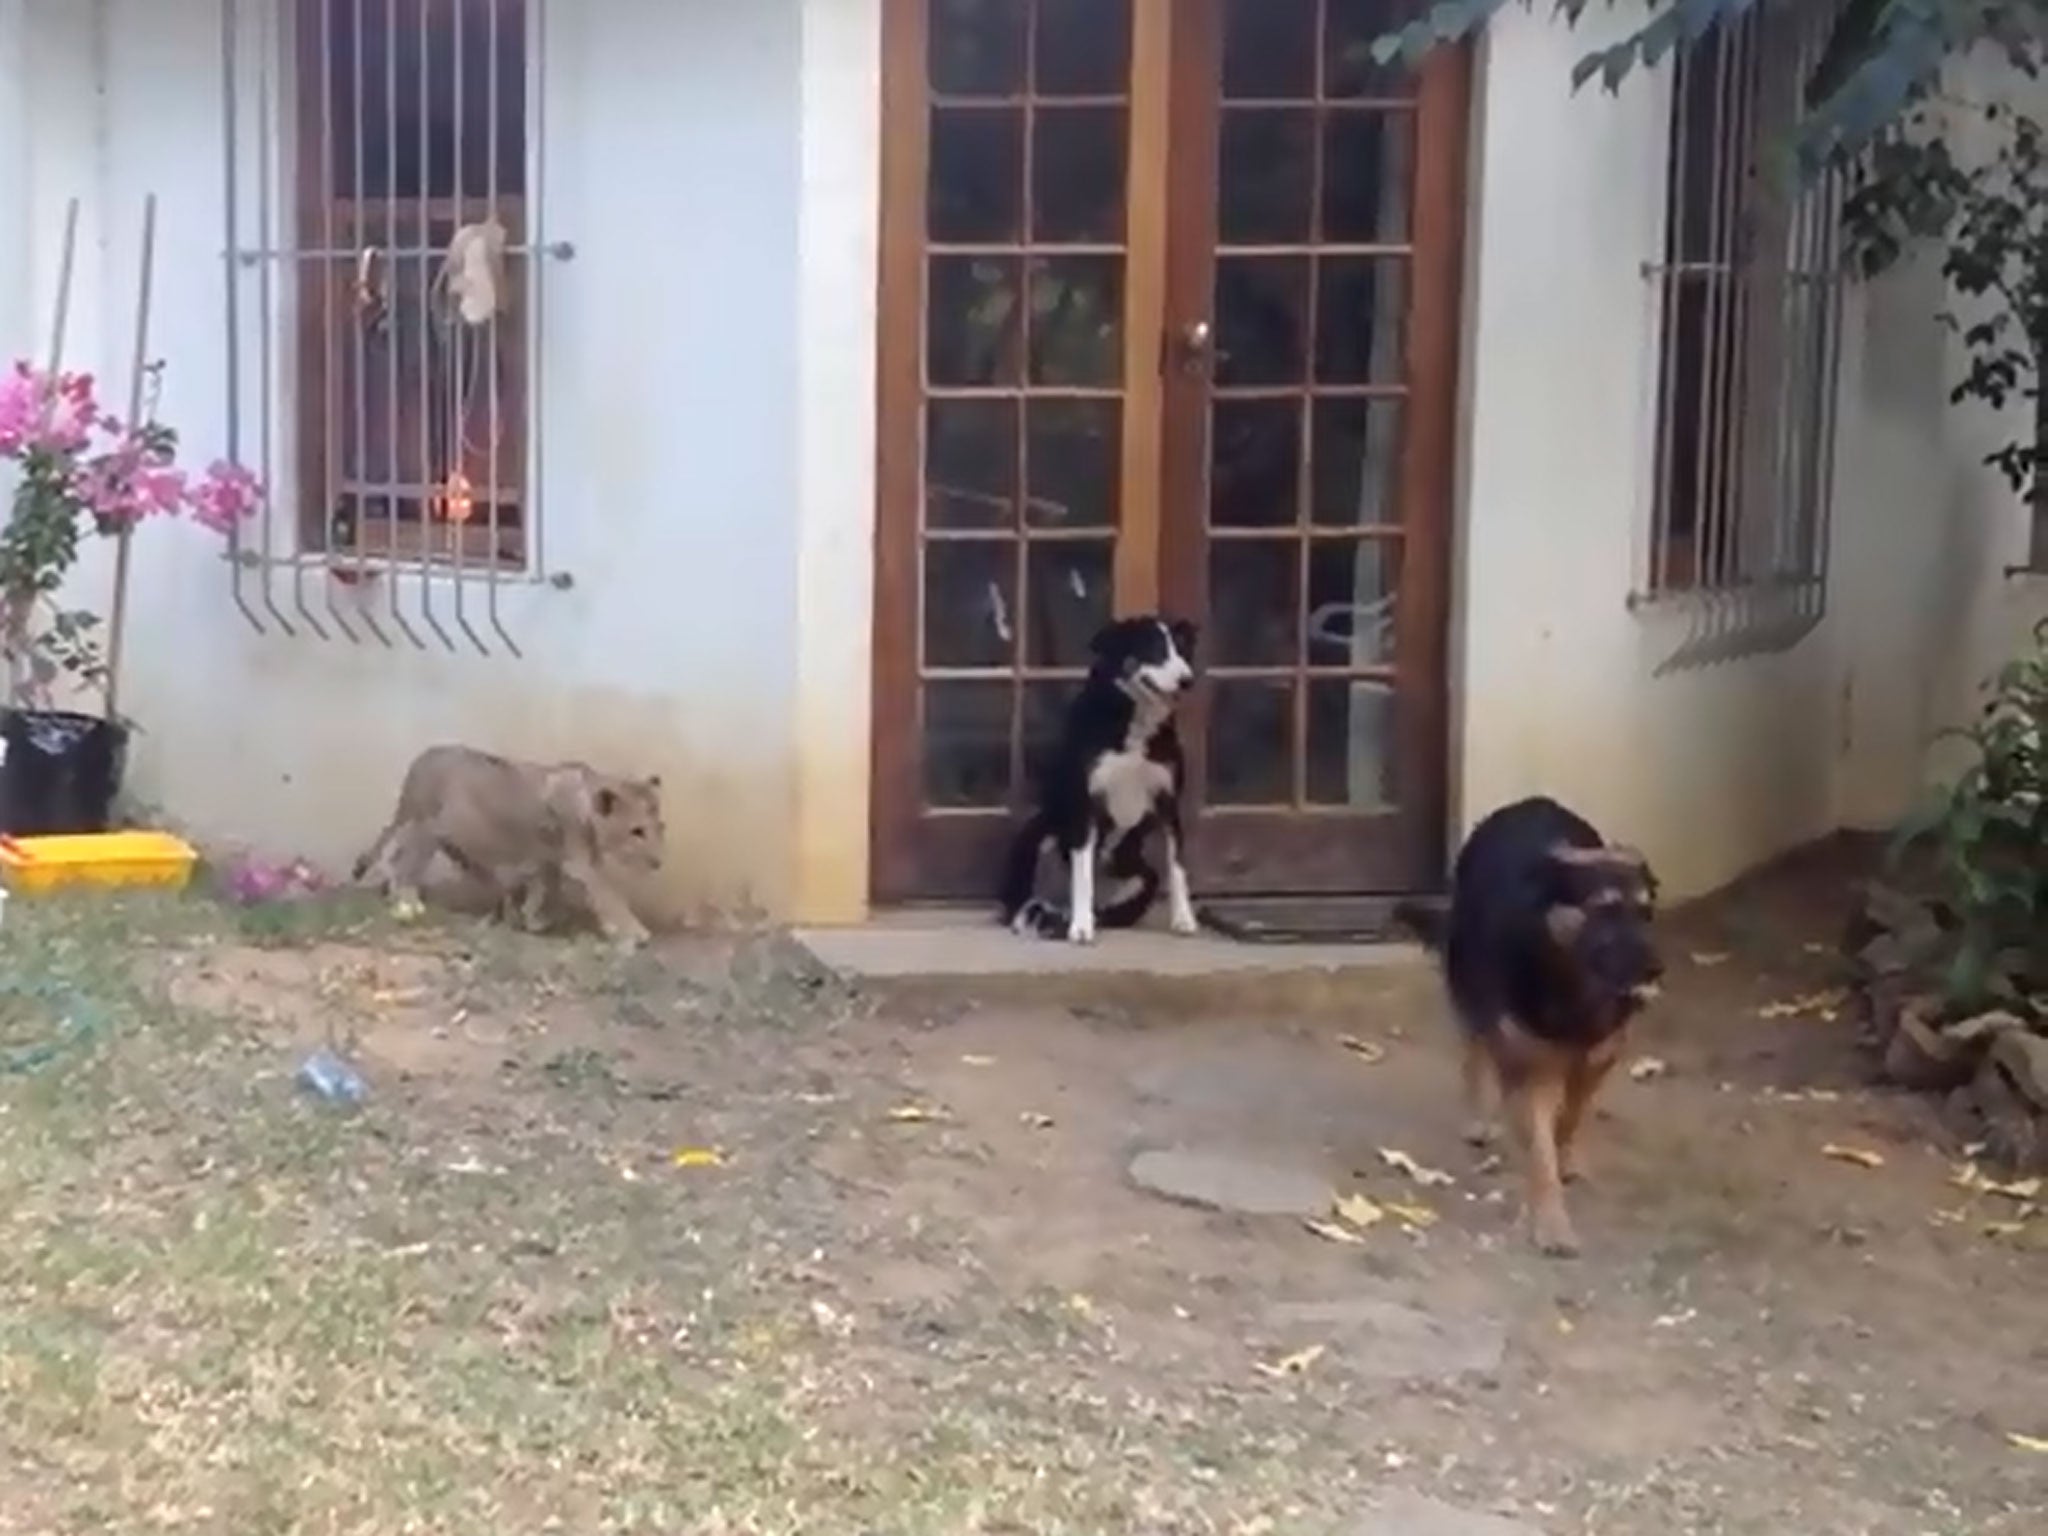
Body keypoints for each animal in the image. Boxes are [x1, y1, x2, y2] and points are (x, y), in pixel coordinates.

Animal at [1392, 798, 1662, 1253]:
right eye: (1604, 909)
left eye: (1645, 913)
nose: (1655, 969)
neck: (1569, 985)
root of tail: (1530, 803)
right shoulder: (1530, 1066)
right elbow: (1540, 1151)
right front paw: (1551, 1224)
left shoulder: (1598, 1053)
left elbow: (1571, 1115)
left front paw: (1567, 1156)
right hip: (1469, 978)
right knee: (1476, 1045)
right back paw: (1479, 1116)